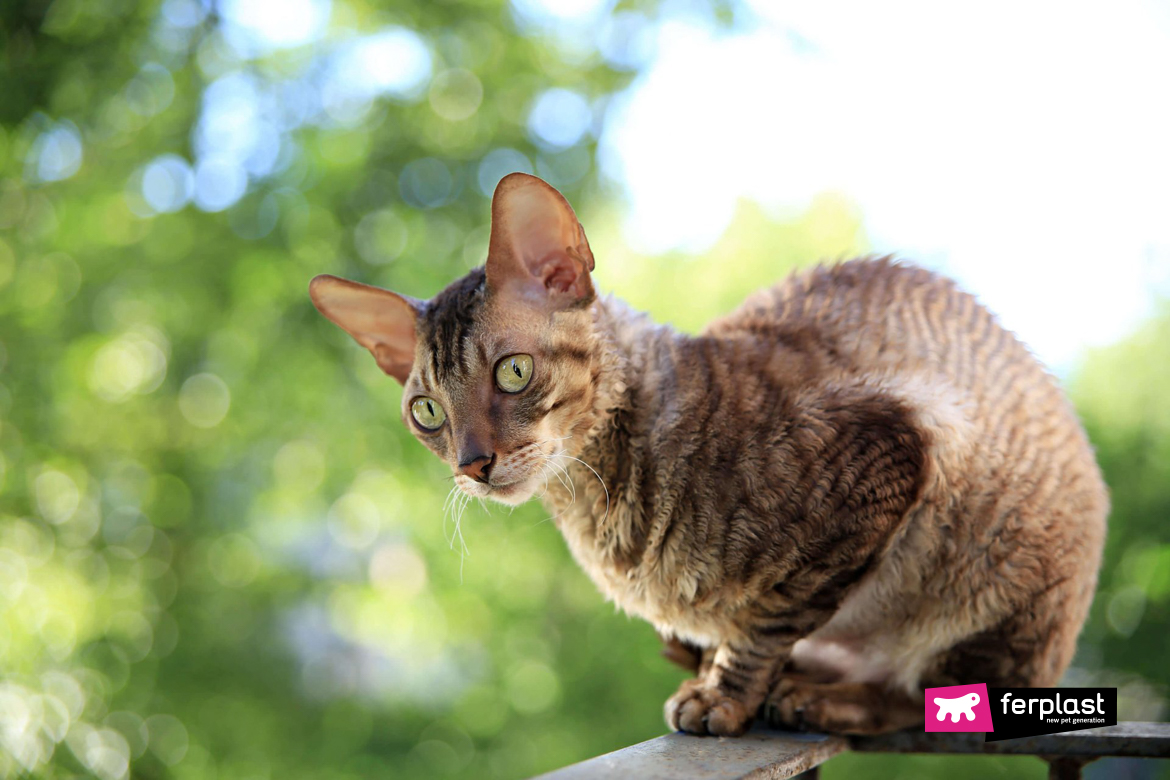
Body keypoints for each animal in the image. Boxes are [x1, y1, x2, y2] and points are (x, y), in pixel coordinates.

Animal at [308, 171, 1104, 739]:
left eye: (513, 372)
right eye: (428, 413)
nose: (473, 463)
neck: (596, 511)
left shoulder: (898, 447)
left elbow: (770, 618)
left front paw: (724, 694)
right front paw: (714, 669)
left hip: (1001, 585)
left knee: (938, 697)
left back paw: (824, 698)